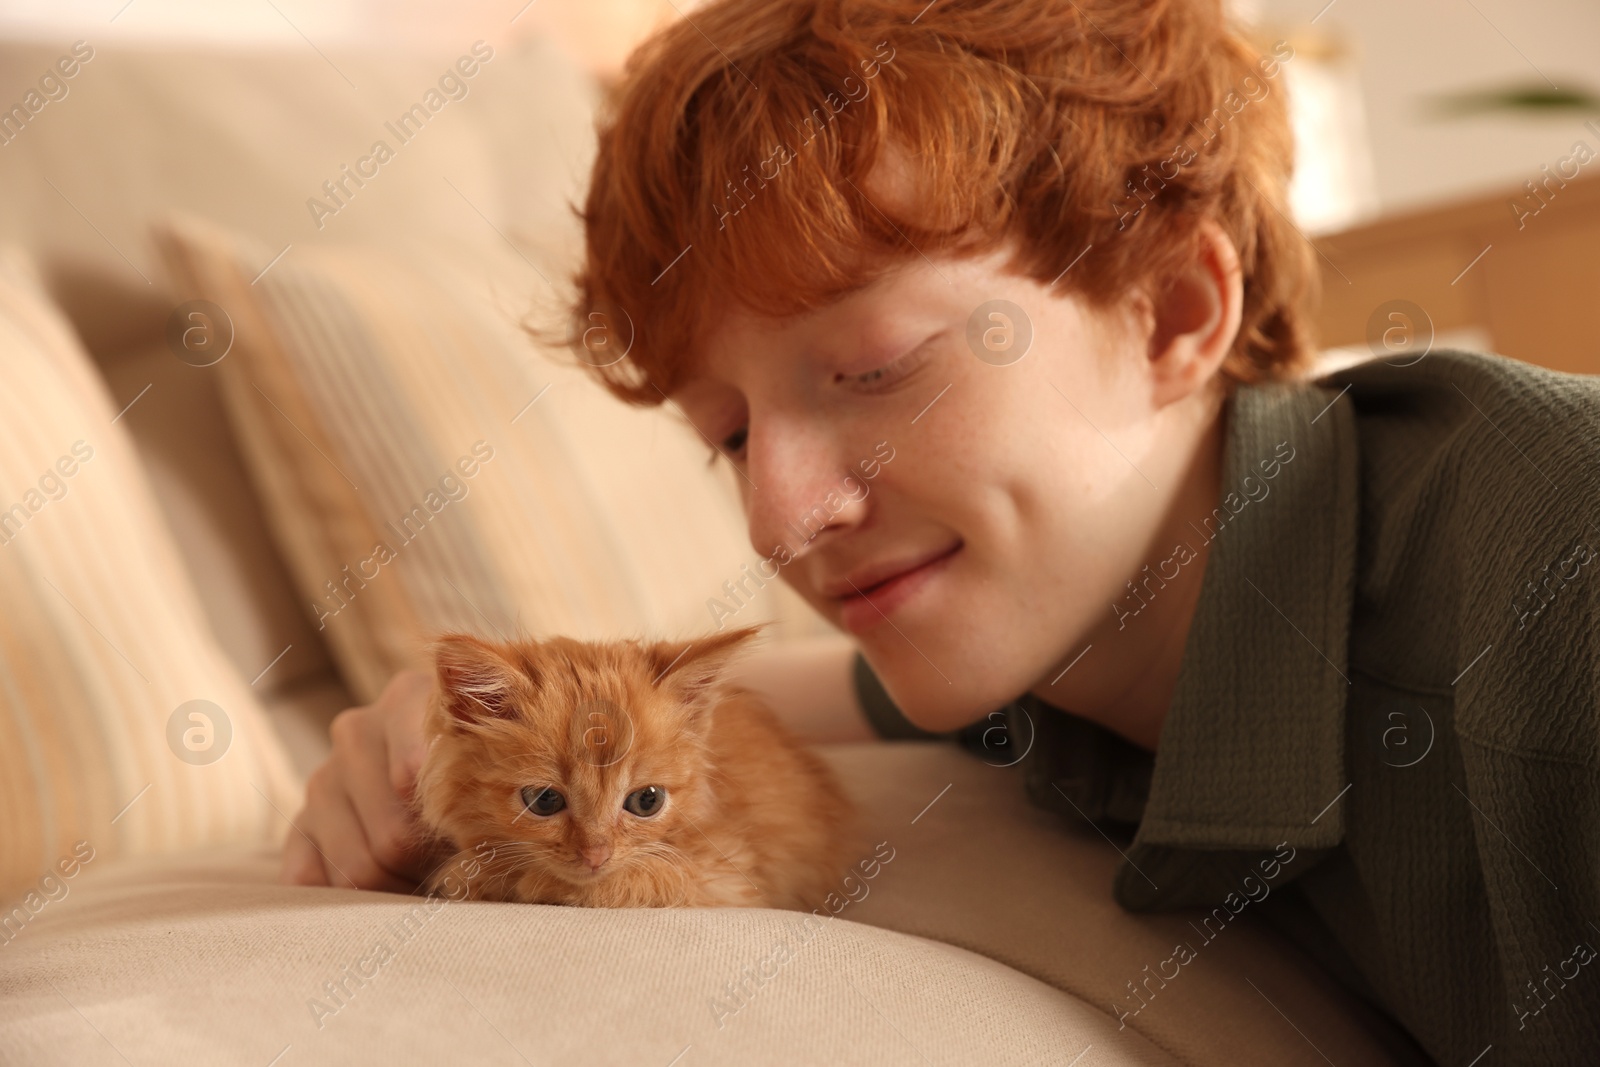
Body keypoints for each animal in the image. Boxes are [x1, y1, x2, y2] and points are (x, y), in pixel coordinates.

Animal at [416, 627, 864, 908]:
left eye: (646, 801)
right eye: (543, 800)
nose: (596, 855)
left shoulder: (730, 879)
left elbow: (648, 878)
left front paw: (528, 882)